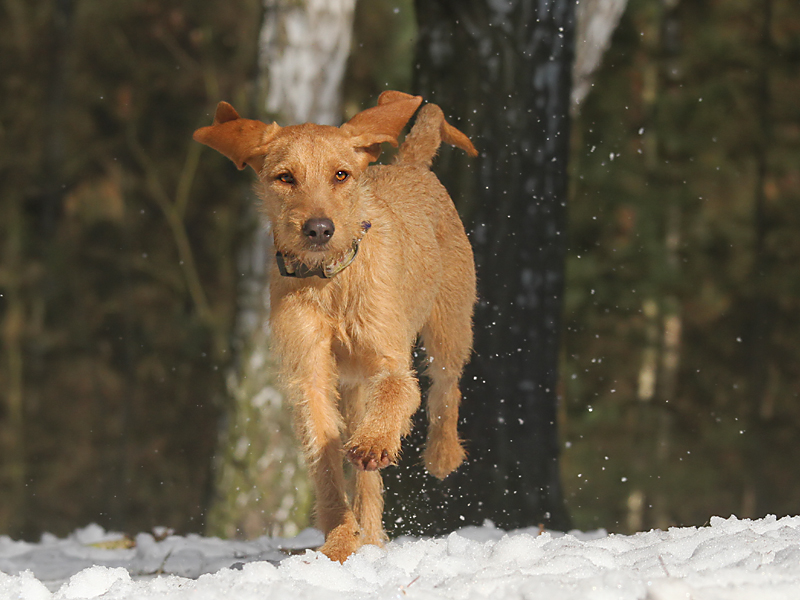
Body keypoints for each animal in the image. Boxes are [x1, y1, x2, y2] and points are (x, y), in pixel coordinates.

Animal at [195, 90, 478, 564]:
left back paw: (441, 454)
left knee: (445, 387)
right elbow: (325, 457)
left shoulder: (388, 358)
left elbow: (398, 392)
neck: (331, 281)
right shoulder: (309, 372)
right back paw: (369, 534)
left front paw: (376, 443)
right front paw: (341, 538)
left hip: (449, 324)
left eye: (341, 175)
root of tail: (409, 165)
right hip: (354, 386)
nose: (319, 228)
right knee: (368, 479)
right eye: (285, 177)